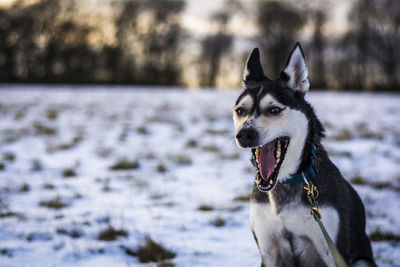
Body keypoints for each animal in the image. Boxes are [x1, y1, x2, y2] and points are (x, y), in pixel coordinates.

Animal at [233, 43, 376, 266]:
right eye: (240, 110)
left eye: (274, 110)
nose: (244, 134)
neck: (285, 182)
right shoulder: (269, 251)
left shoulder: (333, 252)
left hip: (362, 261)